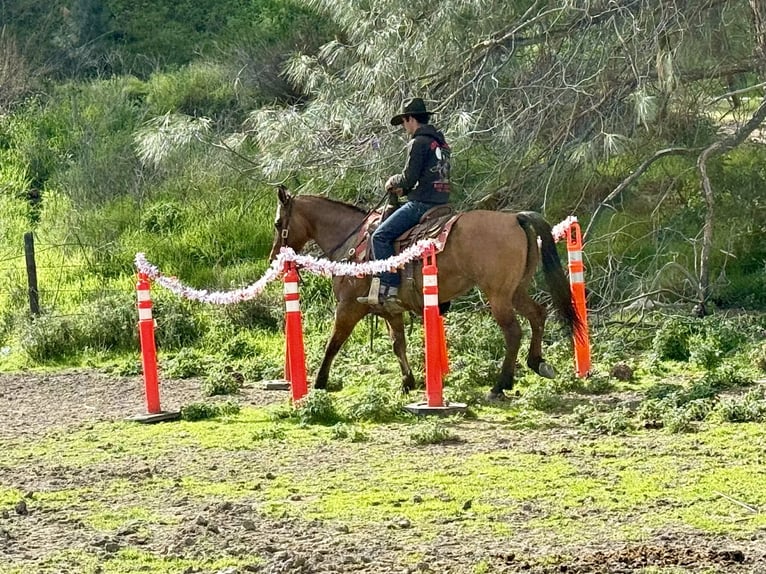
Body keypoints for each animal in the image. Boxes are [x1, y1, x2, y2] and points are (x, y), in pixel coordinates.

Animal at [269, 186, 579, 400]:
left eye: (277, 223)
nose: (274, 257)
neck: (352, 240)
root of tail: (515, 218)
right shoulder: (390, 310)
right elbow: (398, 344)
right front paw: (408, 382)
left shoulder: (348, 307)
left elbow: (334, 342)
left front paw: (319, 383)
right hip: (516, 290)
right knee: (538, 314)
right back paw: (537, 363)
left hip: (499, 296)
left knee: (513, 332)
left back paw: (500, 385)